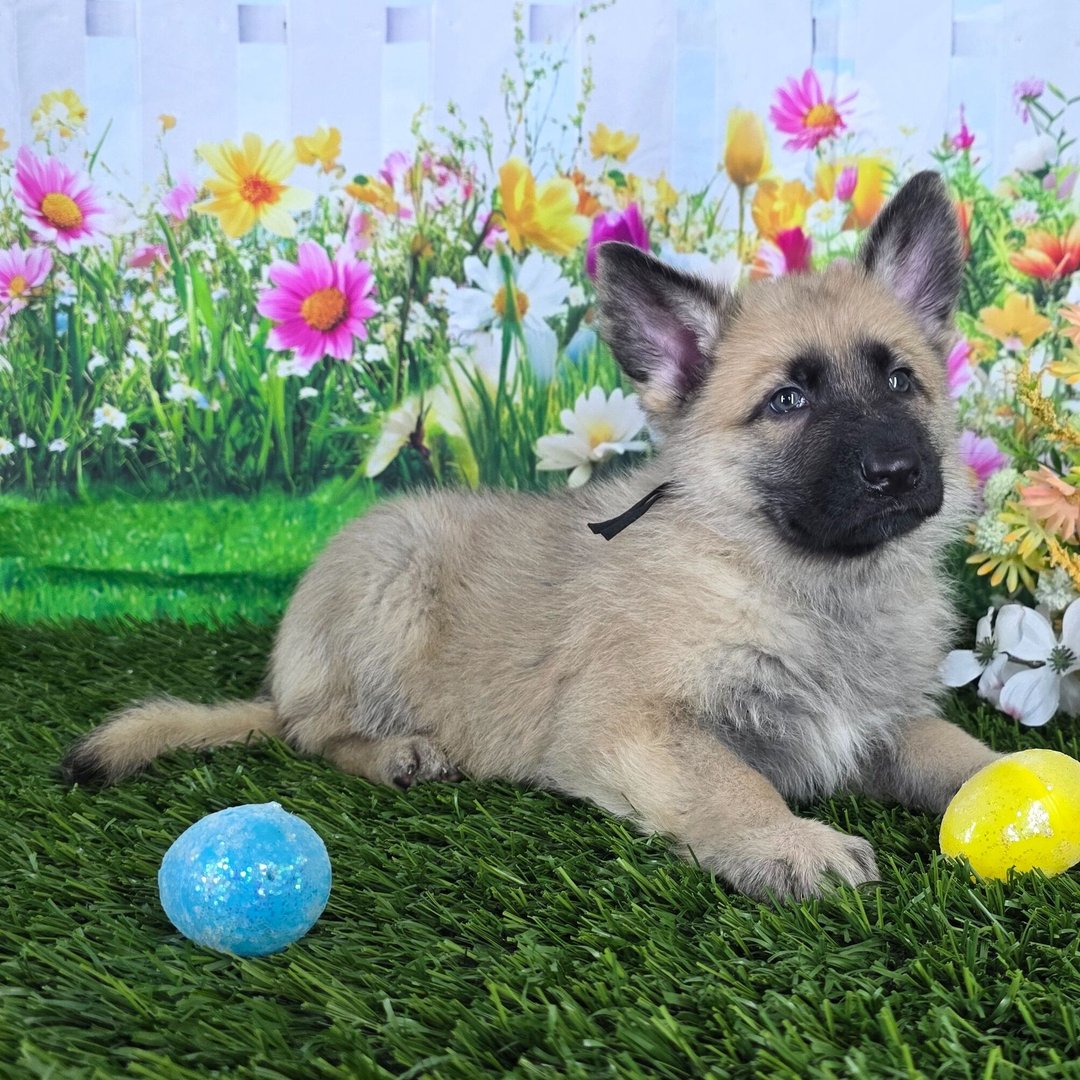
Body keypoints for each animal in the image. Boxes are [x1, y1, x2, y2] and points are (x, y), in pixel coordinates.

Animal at [62, 171, 999, 900]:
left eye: (900, 381)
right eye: (789, 402)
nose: (897, 472)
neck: (802, 580)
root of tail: (282, 680)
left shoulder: (887, 725)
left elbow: (961, 751)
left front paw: (1010, 772)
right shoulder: (634, 726)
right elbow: (732, 785)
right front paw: (790, 843)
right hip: (389, 583)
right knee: (312, 733)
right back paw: (395, 753)